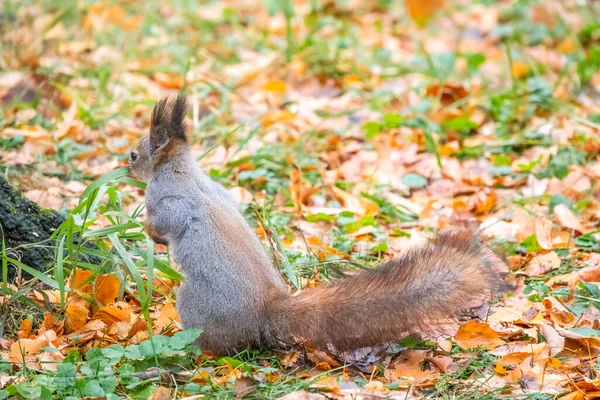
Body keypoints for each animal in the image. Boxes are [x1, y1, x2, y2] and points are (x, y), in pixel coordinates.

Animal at [127, 94, 510, 356]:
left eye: (134, 154)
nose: (124, 165)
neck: (181, 170)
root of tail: (265, 312)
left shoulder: (170, 200)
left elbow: (165, 220)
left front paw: (150, 233)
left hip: (195, 303)